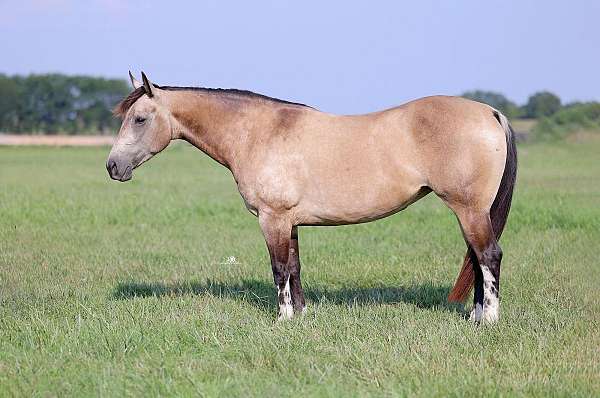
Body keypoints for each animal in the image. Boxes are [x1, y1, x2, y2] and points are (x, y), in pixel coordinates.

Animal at [106, 72, 516, 324]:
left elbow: (278, 269)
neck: (260, 132)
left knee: (488, 255)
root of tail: (491, 112)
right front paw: (302, 315)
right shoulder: (290, 221)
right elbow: (295, 267)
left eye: (139, 119)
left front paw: (283, 318)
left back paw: (489, 320)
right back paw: (476, 315)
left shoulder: (272, 218)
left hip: (468, 209)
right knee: (476, 258)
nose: (113, 166)